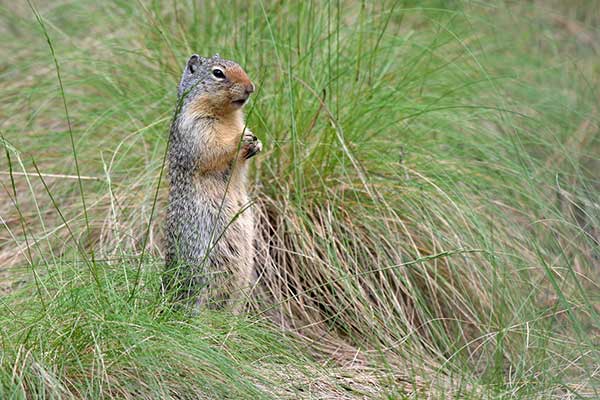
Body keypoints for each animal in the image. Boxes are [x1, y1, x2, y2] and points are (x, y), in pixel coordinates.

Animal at [163, 53, 262, 310]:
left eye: (241, 66)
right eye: (218, 73)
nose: (251, 87)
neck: (227, 116)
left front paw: (257, 143)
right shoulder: (197, 127)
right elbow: (213, 149)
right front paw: (241, 139)